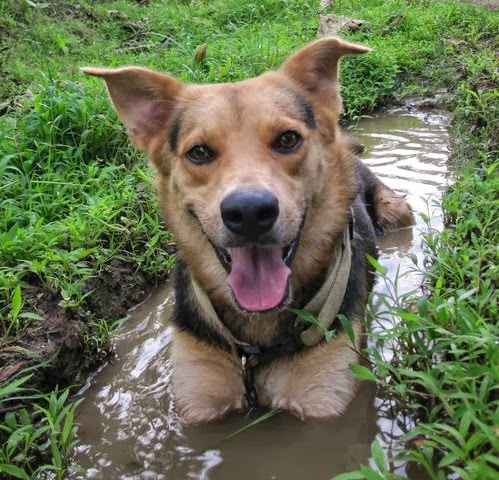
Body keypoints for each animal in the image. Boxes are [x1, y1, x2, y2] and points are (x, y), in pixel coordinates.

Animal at [84, 37, 414, 424]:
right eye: (199, 152)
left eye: (287, 139)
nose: (249, 212)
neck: (255, 341)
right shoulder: (197, 395)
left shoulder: (324, 399)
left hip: (396, 212)